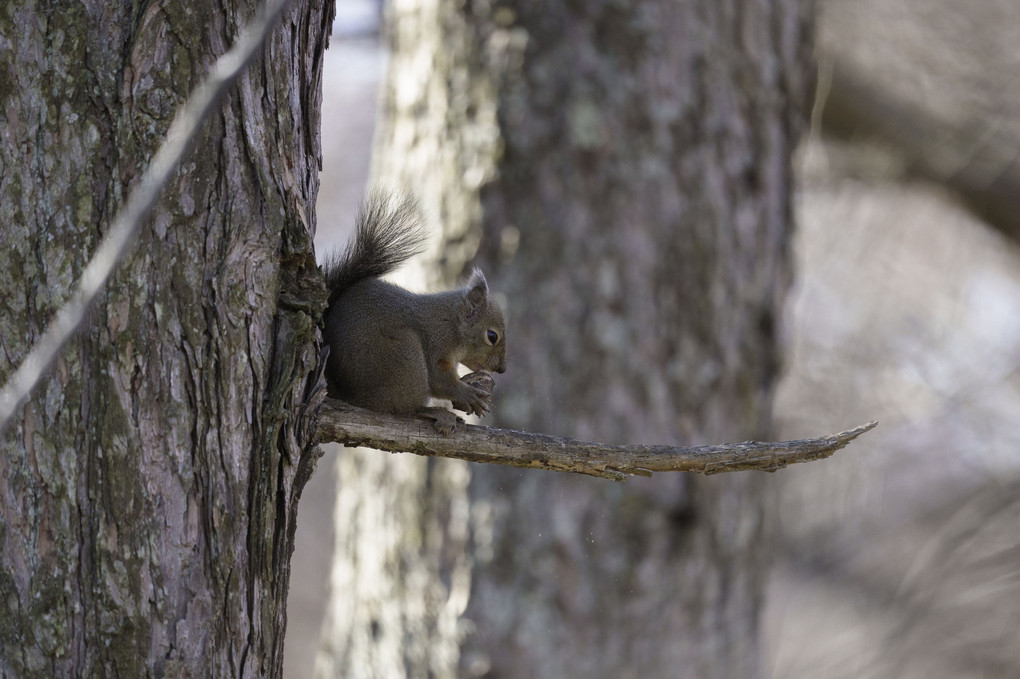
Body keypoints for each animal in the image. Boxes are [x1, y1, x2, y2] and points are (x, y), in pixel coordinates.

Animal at [320, 191, 507, 434]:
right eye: (492, 336)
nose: (502, 369)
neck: (451, 322)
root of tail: (345, 393)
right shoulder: (436, 341)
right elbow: (438, 380)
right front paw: (467, 394)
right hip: (403, 358)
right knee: (402, 409)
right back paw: (433, 412)